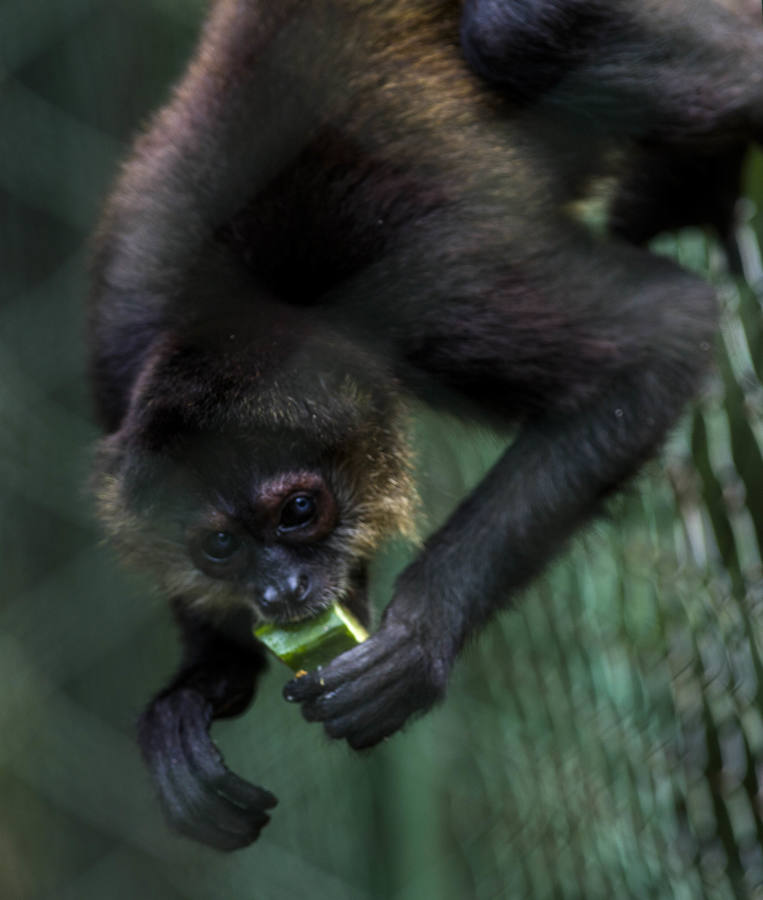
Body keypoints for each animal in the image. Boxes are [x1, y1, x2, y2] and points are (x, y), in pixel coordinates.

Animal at [91, 0, 763, 852]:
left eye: (300, 509)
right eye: (217, 545)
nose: (278, 590)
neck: (244, 301)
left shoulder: (429, 282)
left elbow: (661, 336)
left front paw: (418, 640)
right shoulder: (119, 353)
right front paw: (198, 689)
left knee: (507, 34)